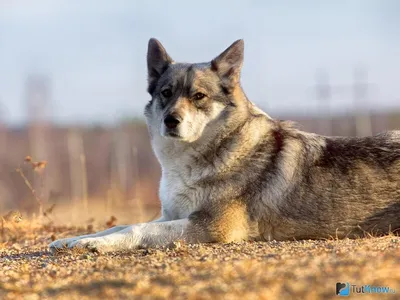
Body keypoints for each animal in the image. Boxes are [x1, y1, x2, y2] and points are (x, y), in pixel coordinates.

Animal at [50, 38, 400, 253]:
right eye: (166, 93)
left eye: (198, 96)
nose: (171, 121)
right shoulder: (170, 215)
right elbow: (119, 224)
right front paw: (73, 239)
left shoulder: (210, 226)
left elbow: (134, 229)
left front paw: (94, 245)